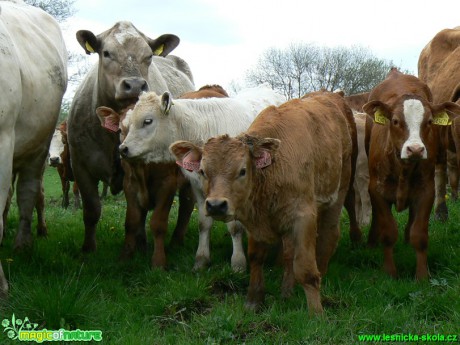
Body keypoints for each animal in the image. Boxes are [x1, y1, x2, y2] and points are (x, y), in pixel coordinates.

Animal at [118, 84, 284, 272]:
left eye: (147, 121)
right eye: (127, 125)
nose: (123, 149)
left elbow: (234, 226)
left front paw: (238, 262)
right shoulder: (197, 186)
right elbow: (204, 223)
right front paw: (201, 259)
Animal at [171, 89, 354, 314]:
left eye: (242, 170)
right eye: (203, 171)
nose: (215, 205)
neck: (273, 169)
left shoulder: (304, 217)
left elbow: (305, 269)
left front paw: (316, 312)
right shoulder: (255, 220)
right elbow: (257, 257)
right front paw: (254, 300)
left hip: (339, 189)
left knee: (329, 233)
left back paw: (322, 272)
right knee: (288, 253)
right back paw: (286, 292)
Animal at [362, 68, 460, 280]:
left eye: (429, 121)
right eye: (395, 121)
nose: (415, 149)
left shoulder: (426, 192)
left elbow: (419, 235)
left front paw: (422, 276)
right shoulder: (376, 190)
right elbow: (388, 231)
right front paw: (389, 272)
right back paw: (372, 241)